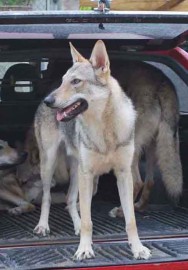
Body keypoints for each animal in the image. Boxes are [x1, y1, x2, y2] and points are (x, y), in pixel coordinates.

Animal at [33, 39, 151, 260]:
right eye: (63, 81)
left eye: (76, 81)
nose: (48, 101)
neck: (104, 128)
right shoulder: (87, 174)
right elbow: (89, 220)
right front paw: (84, 249)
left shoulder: (123, 175)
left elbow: (131, 220)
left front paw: (138, 248)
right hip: (50, 165)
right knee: (47, 197)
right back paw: (43, 226)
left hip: (76, 171)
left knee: (70, 200)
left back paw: (76, 225)